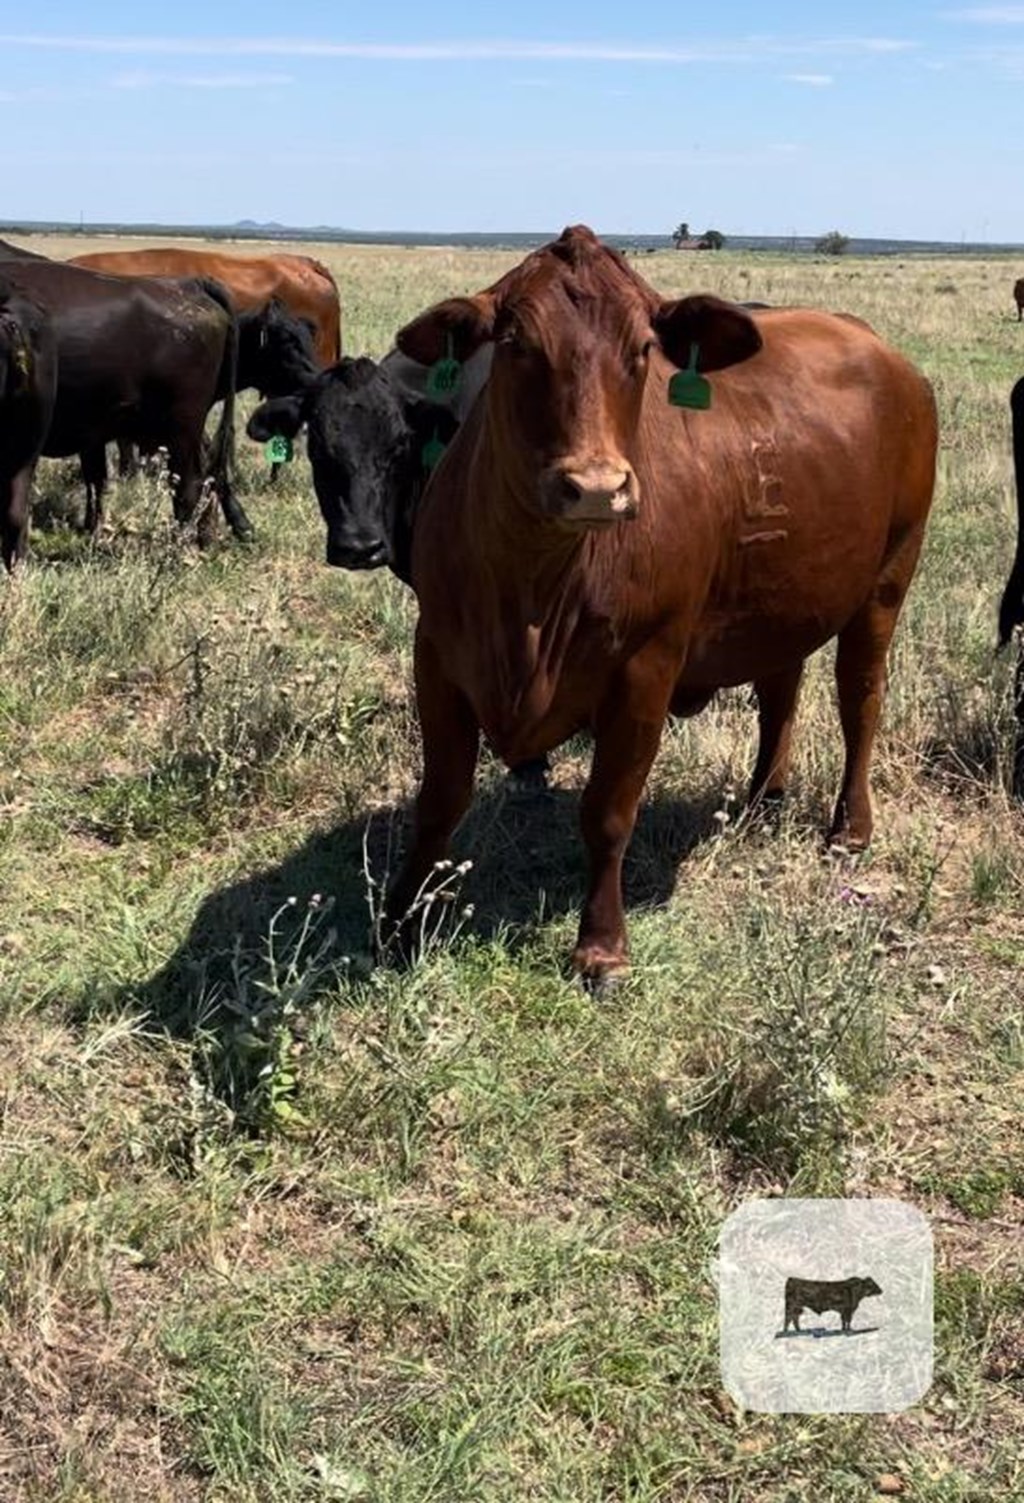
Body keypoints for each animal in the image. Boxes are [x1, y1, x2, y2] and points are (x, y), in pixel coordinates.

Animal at [381, 222, 932, 991]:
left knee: (860, 697)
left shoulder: (646, 666)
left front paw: (601, 946)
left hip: (889, 574)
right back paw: (762, 801)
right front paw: (400, 917)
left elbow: (609, 812)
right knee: (780, 690)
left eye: (642, 348)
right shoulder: (437, 653)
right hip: (783, 595)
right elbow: (438, 799)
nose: (596, 487)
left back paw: (848, 828)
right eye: (516, 343)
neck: (529, 594)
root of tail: (879, 348)